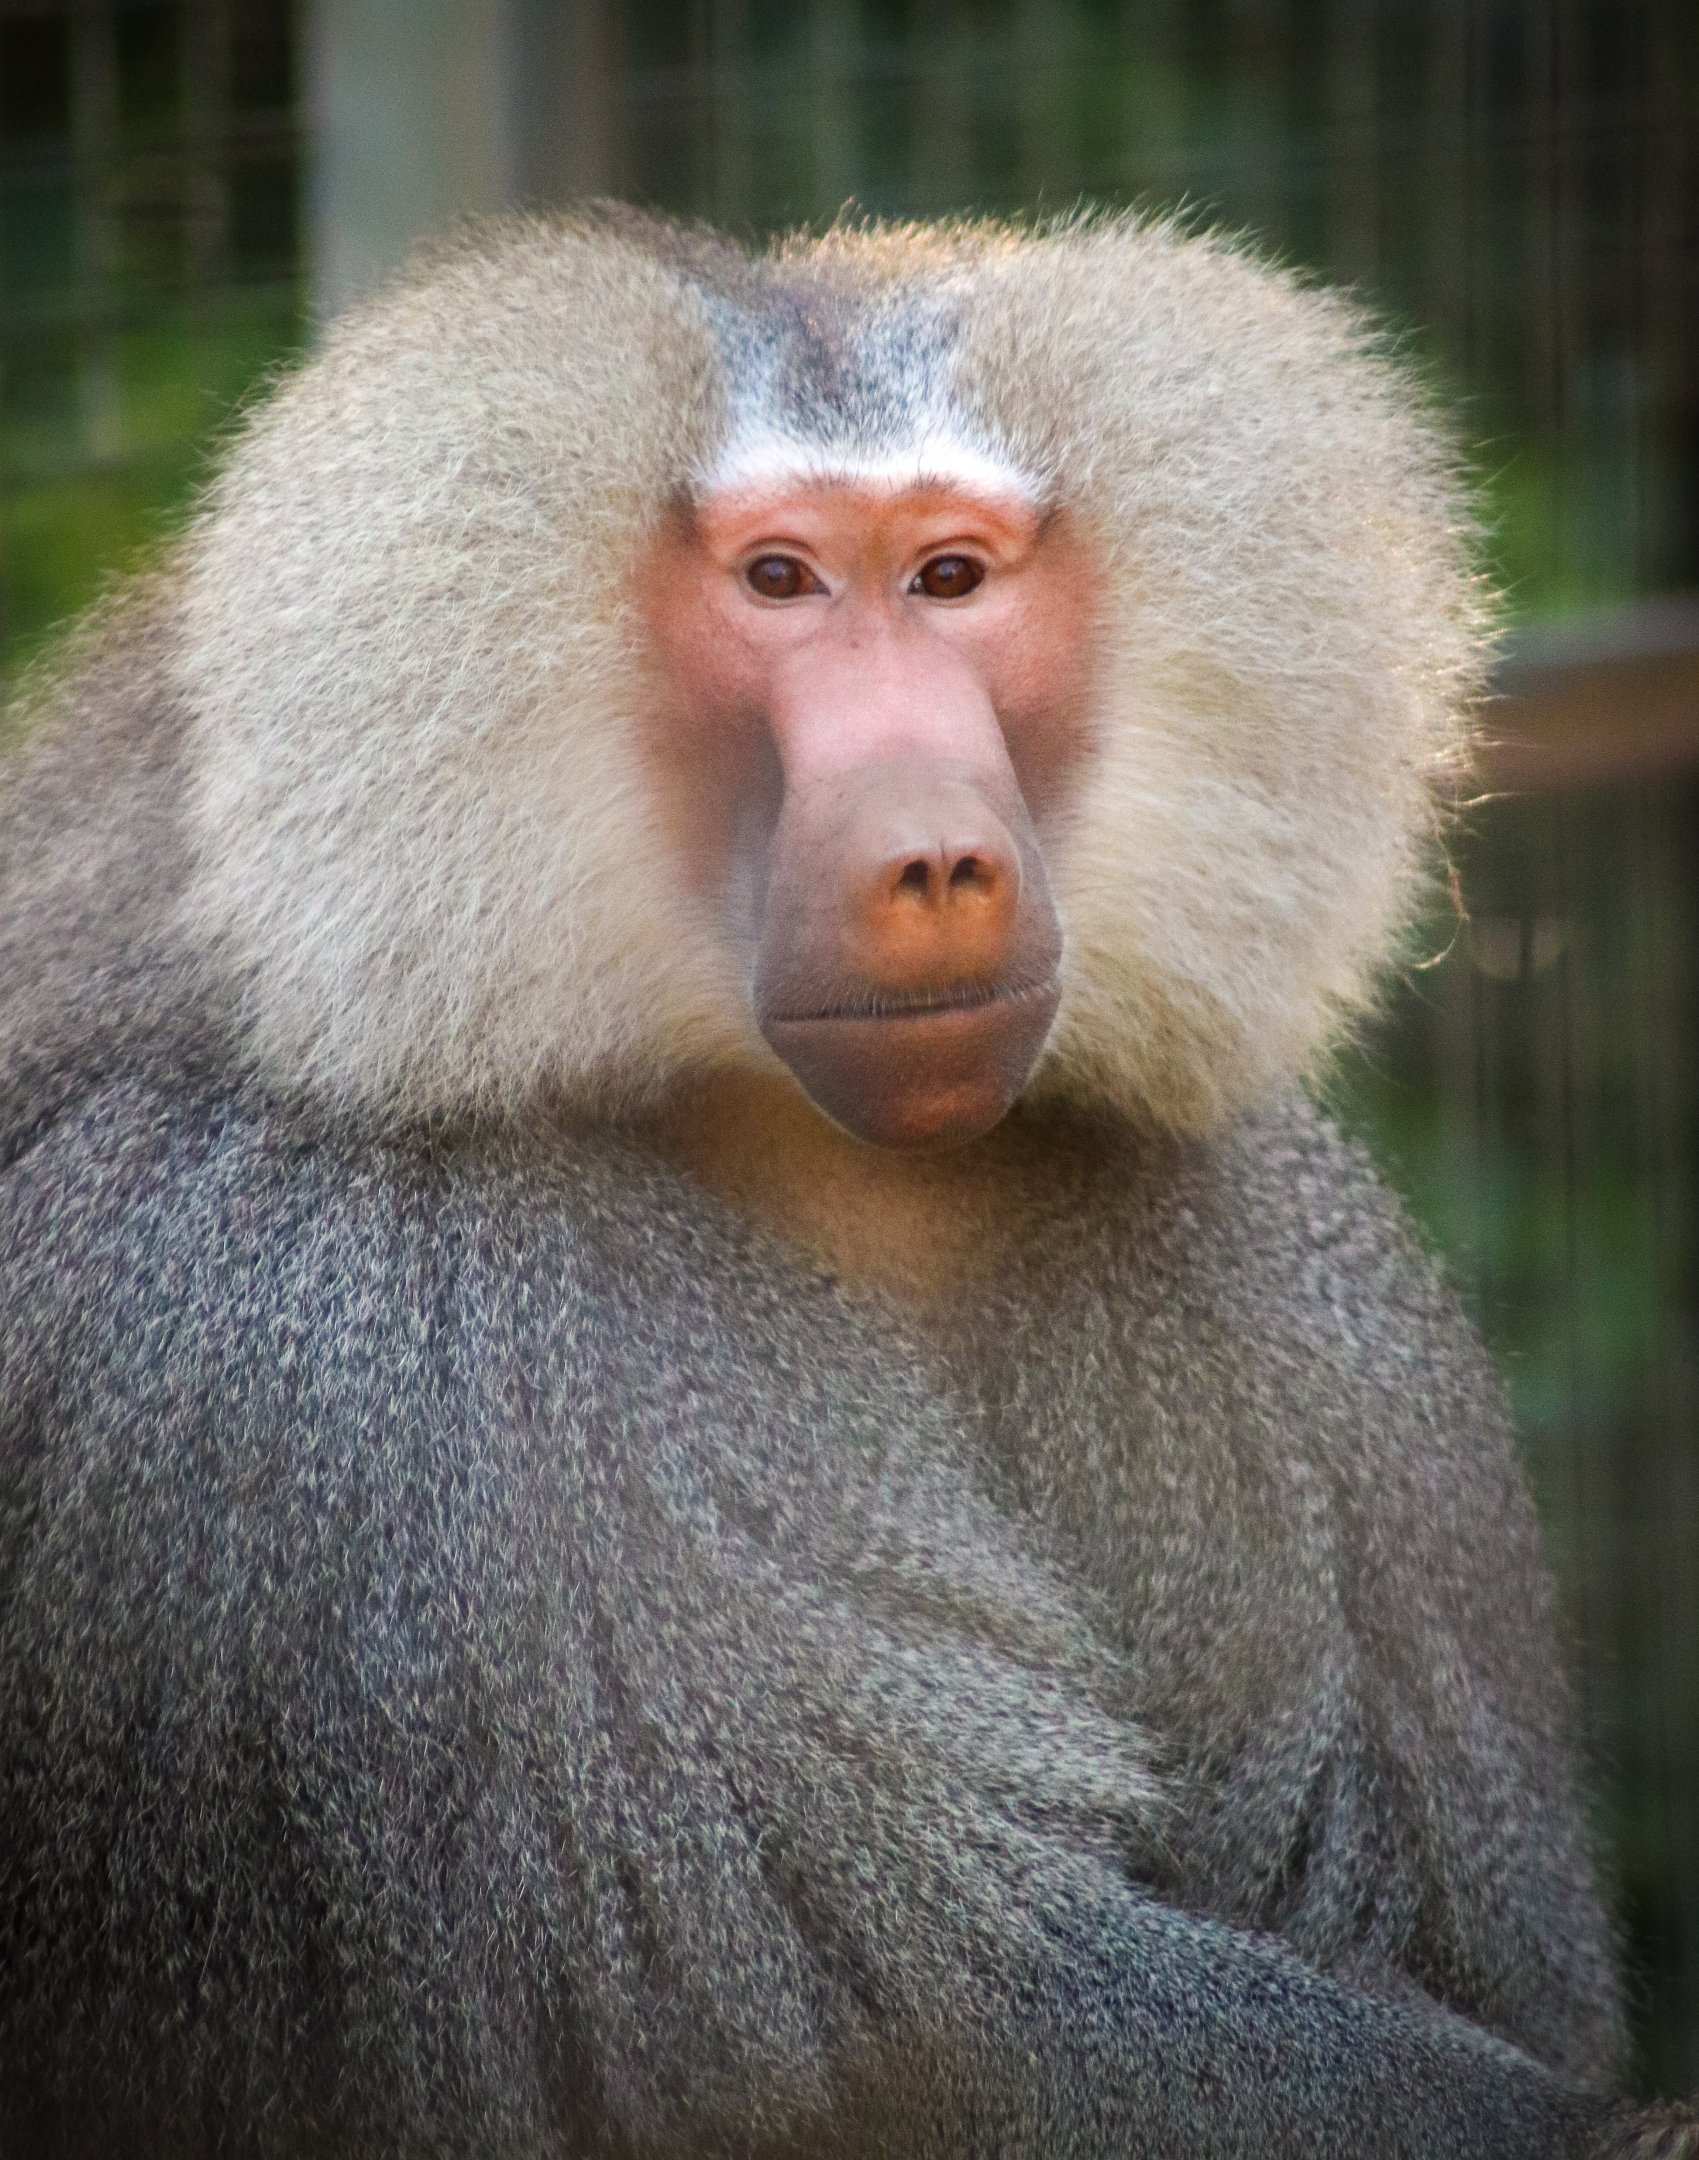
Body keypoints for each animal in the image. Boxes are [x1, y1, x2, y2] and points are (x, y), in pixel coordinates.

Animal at [0, 206, 1694, 2160]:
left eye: (949, 578)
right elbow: (933, 2028)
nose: (936, 860)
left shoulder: (1303, 1300)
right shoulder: (355, 1346)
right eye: (780, 582)